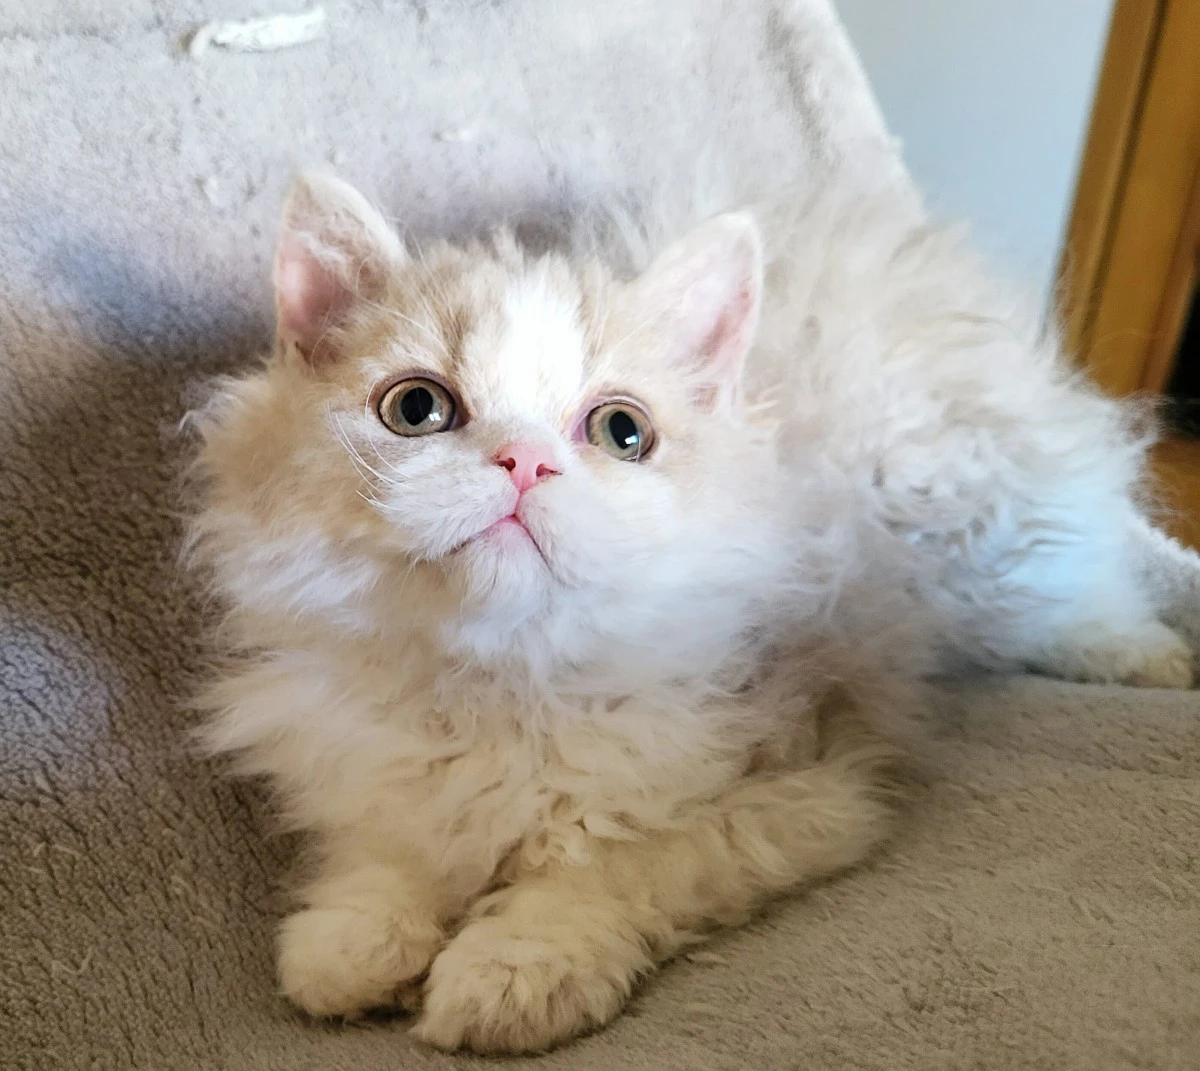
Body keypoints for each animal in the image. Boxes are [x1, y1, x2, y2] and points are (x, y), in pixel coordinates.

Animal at [187, 171, 1190, 1051]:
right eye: (417, 408)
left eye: (620, 431)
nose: (524, 462)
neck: (504, 682)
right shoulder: (363, 763)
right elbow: (388, 848)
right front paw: (354, 941)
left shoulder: (819, 774)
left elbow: (619, 864)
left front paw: (513, 971)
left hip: (989, 534)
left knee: (1081, 582)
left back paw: (1150, 658)